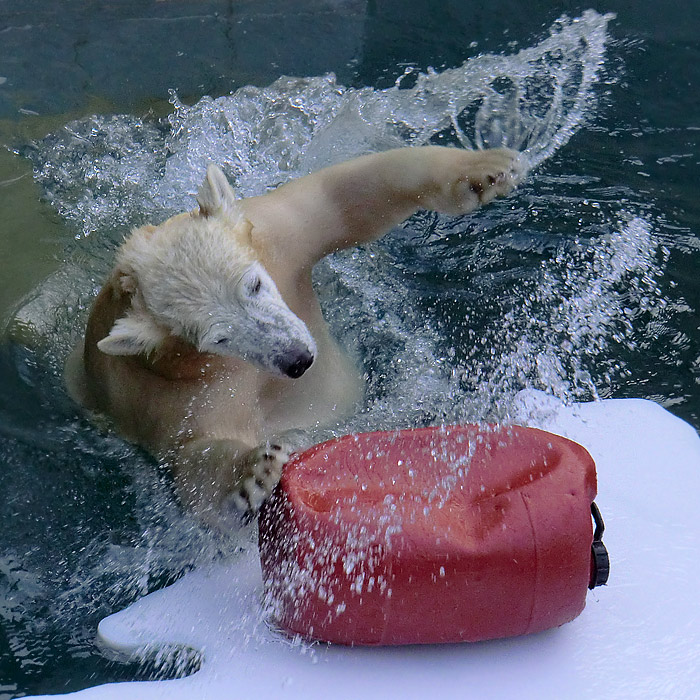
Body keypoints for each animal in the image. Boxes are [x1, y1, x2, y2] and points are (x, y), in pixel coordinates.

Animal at [67, 145, 524, 524]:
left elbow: (344, 195)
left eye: (253, 284)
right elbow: (194, 464)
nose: (297, 360)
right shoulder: (166, 394)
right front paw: (254, 470)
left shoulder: (279, 236)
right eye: (219, 338)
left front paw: (485, 171)